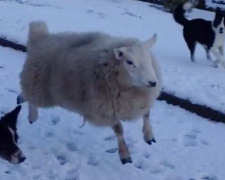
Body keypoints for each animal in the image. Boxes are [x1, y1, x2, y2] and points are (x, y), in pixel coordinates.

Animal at [17, 21, 162, 165]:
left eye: (149, 59)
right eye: (129, 62)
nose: (153, 82)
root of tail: (40, 37)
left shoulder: (139, 101)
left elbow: (147, 114)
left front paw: (149, 135)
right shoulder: (103, 111)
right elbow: (119, 129)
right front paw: (125, 154)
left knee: (24, 96)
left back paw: (21, 103)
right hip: (39, 88)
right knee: (29, 98)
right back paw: (32, 116)